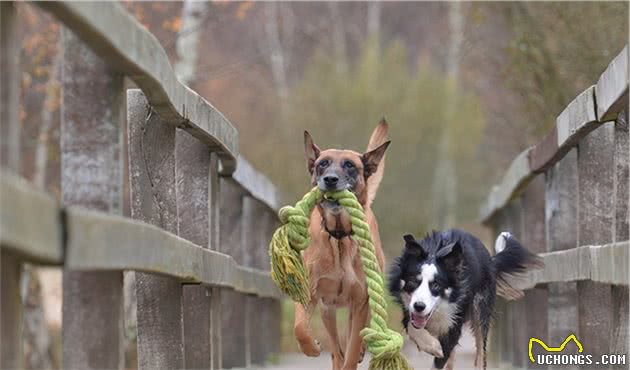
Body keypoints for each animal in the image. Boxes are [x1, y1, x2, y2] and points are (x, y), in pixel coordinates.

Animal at [296, 120, 390, 368]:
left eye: (349, 165)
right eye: (322, 164)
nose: (330, 179)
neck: (338, 236)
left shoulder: (360, 302)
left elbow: (352, 348)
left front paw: (356, 352)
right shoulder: (310, 293)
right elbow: (300, 328)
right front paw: (311, 347)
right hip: (327, 311)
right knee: (336, 349)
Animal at [390, 230, 544, 368]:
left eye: (436, 285)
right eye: (412, 281)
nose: (419, 306)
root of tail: (490, 260)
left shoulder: (454, 322)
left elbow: (442, 355)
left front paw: (435, 348)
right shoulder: (408, 309)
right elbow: (412, 325)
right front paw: (431, 345)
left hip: (481, 308)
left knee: (481, 354)